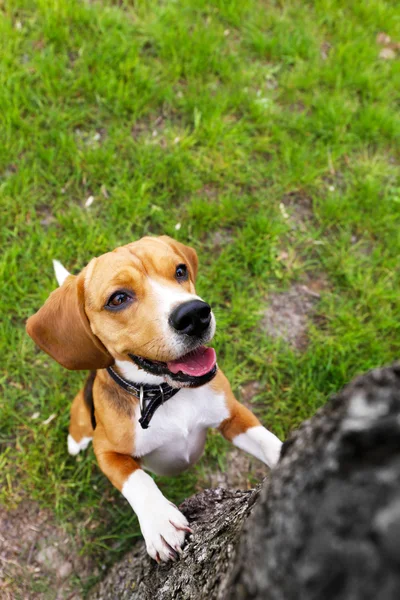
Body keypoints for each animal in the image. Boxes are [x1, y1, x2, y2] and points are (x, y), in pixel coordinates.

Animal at [26, 236, 282, 564]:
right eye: (118, 299)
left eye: (180, 270)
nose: (195, 314)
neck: (162, 394)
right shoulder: (106, 451)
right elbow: (136, 479)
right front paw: (160, 521)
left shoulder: (232, 414)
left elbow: (266, 440)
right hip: (82, 415)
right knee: (79, 425)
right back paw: (75, 441)